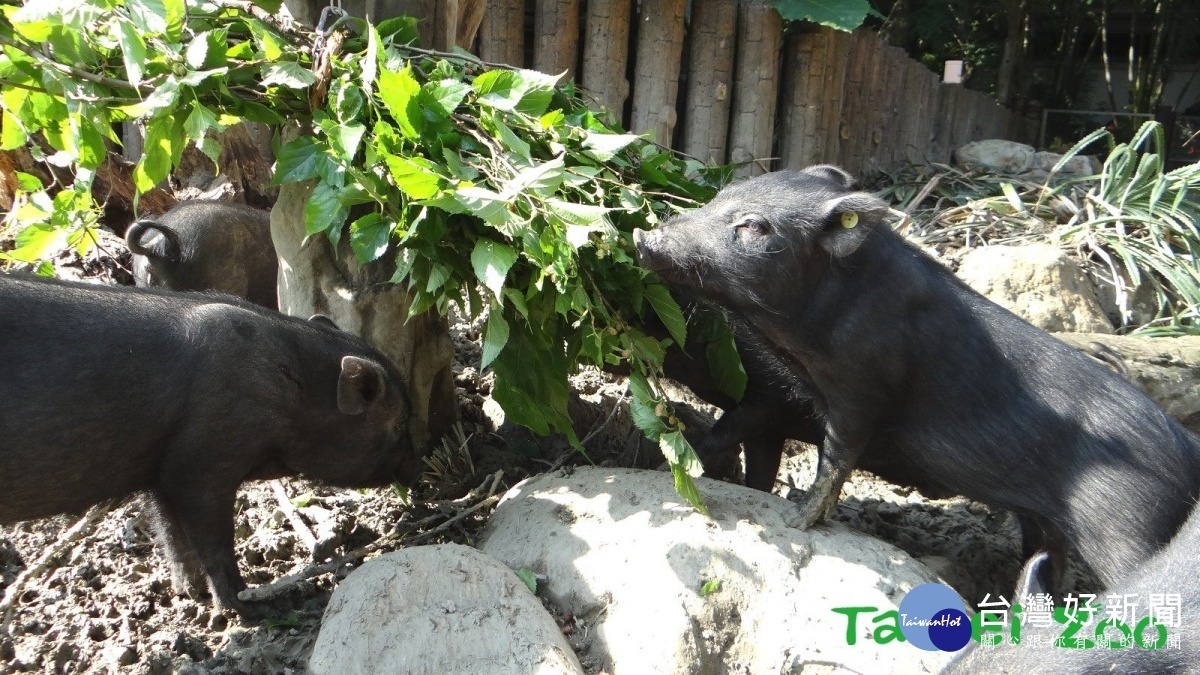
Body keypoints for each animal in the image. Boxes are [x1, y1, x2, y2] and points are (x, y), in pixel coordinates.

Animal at [0, 271, 422, 614]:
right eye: (400, 422)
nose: (421, 468)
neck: (290, 392)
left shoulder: (160, 471)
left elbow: (171, 533)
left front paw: (190, 592)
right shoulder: (199, 466)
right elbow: (213, 540)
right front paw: (248, 606)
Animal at [633, 165, 1200, 586]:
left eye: (753, 225)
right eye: (719, 196)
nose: (644, 235)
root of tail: (1185, 450)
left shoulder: (864, 384)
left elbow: (835, 454)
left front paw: (797, 519)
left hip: (1129, 525)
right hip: (1047, 523)